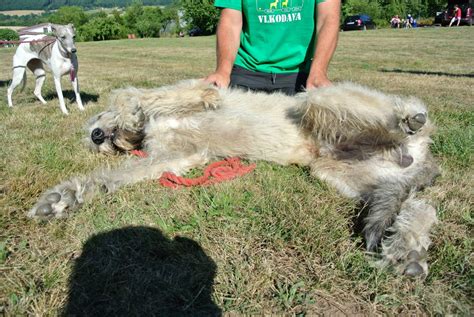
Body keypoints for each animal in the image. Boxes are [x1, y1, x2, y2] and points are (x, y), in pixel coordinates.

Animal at [27, 81, 438, 276]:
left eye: (97, 119)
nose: (96, 136)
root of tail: (417, 154)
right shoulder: (175, 157)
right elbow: (114, 176)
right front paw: (63, 198)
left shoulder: (198, 90)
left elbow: (136, 95)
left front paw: (129, 113)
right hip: (344, 172)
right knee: (420, 206)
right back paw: (408, 250)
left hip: (320, 101)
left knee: (401, 115)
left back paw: (407, 117)